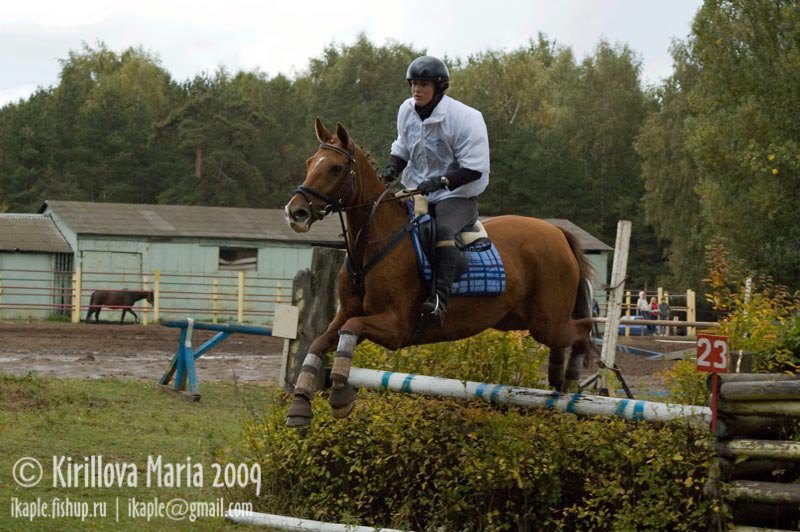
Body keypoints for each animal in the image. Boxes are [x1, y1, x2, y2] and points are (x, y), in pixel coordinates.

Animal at [282, 119, 592, 428]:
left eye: (335, 168)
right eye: (310, 162)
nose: (295, 212)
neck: (373, 243)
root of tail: (558, 232)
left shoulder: (395, 327)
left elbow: (352, 327)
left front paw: (339, 396)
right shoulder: (347, 313)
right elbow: (319, 342)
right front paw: (300, 404)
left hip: (547, 322)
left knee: (582, 330)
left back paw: (572, 385)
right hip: (518, 320)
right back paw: (556, 383)